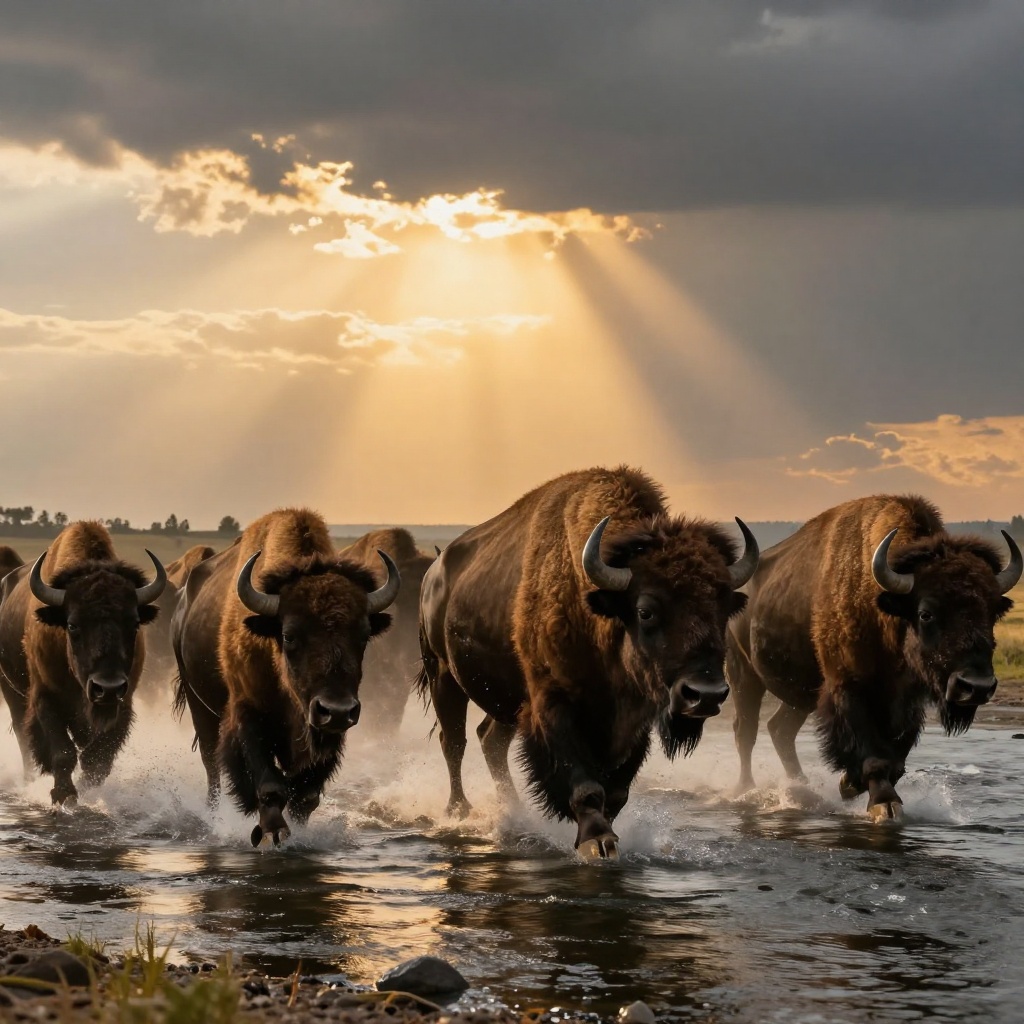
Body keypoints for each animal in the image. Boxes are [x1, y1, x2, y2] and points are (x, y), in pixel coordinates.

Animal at [0, 522, 166, 804]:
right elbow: (62, 752)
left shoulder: (123, 705)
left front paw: (85, 791)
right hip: (10, 690)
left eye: (134, 624)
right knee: (23, 736)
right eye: (72, 625)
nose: (107, 687)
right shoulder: (46, 698)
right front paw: (63, 794)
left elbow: (97, 759)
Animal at [171, 509, 400, 846]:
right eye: (289, 635)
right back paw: (213, 818)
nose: (336, 710)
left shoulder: (325, 733)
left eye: (363, 635)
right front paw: (271, 832)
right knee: (212, 767)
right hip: (198, 704)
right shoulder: (248, 714)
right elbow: (268, 785)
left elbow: (305, 795)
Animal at [417, 466, 758, 858]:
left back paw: (512, 811)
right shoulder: (552, 704)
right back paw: (459, 811)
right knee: (454, 742)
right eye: (645, 610)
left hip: (504, 700)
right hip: (443, 676)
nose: (706, 694)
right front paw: (598, 841)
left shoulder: (634, 721)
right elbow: (584, 785)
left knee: (490, 740)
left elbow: (617, 790)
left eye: (724, 609)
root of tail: (432, 574)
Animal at [727, 494, 1022, 819]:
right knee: (746, 731)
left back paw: (800, 786)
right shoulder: (848, 688)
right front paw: (883, 804)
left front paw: (850, 784)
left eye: (993, 612)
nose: (976, 687)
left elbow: (897, 758)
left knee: (780, 729)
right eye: (926, 613)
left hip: (800, 696)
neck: (884, 608)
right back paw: (745, 789)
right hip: (743, 675)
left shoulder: (907, 702)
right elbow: (873, 754)